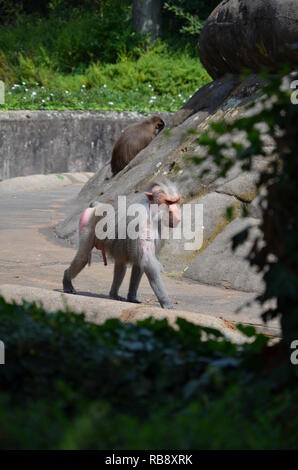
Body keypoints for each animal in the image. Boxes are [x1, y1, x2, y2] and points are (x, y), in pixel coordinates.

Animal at [62, 180, 179, 308]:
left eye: (175, 201)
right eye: (168, 202)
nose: (177, 215)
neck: (151, 208)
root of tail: (97, 205)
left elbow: (139, 264)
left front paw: (132, 298)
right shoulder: (143, 222)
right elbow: (148, 263)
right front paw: (167, 303)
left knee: (121, 265)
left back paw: (114, 295)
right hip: (88, 222)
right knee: (82, 258)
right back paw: (67, 283)